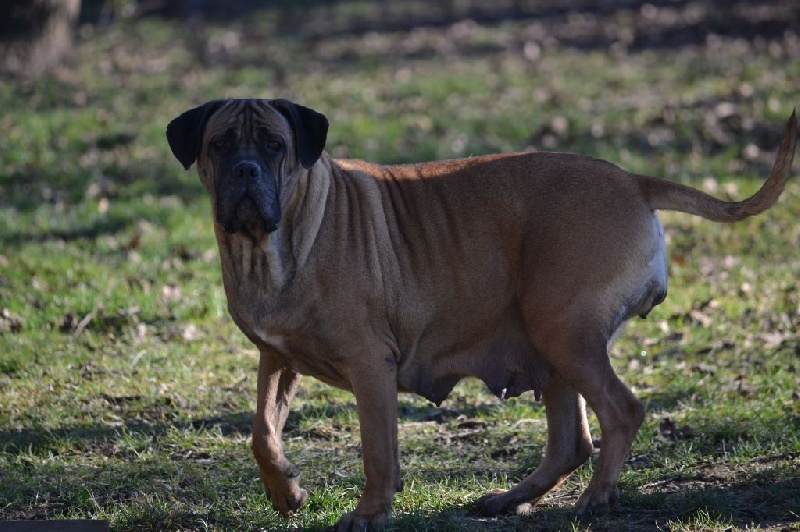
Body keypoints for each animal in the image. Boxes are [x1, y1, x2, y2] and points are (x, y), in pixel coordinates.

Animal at [166, 98, 796, 528]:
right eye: (221, 144)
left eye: (273, 145)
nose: (246, 170)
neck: (274, 246)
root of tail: (633, 182)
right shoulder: (276, 358)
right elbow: (261, 432)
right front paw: (286, 492)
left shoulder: (371, 365)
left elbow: (377, 452)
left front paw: (369, 513)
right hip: (552, 345)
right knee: (571, 441)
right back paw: (511, 498)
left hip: (561, 329)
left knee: (622, 411)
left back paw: (594, 499)